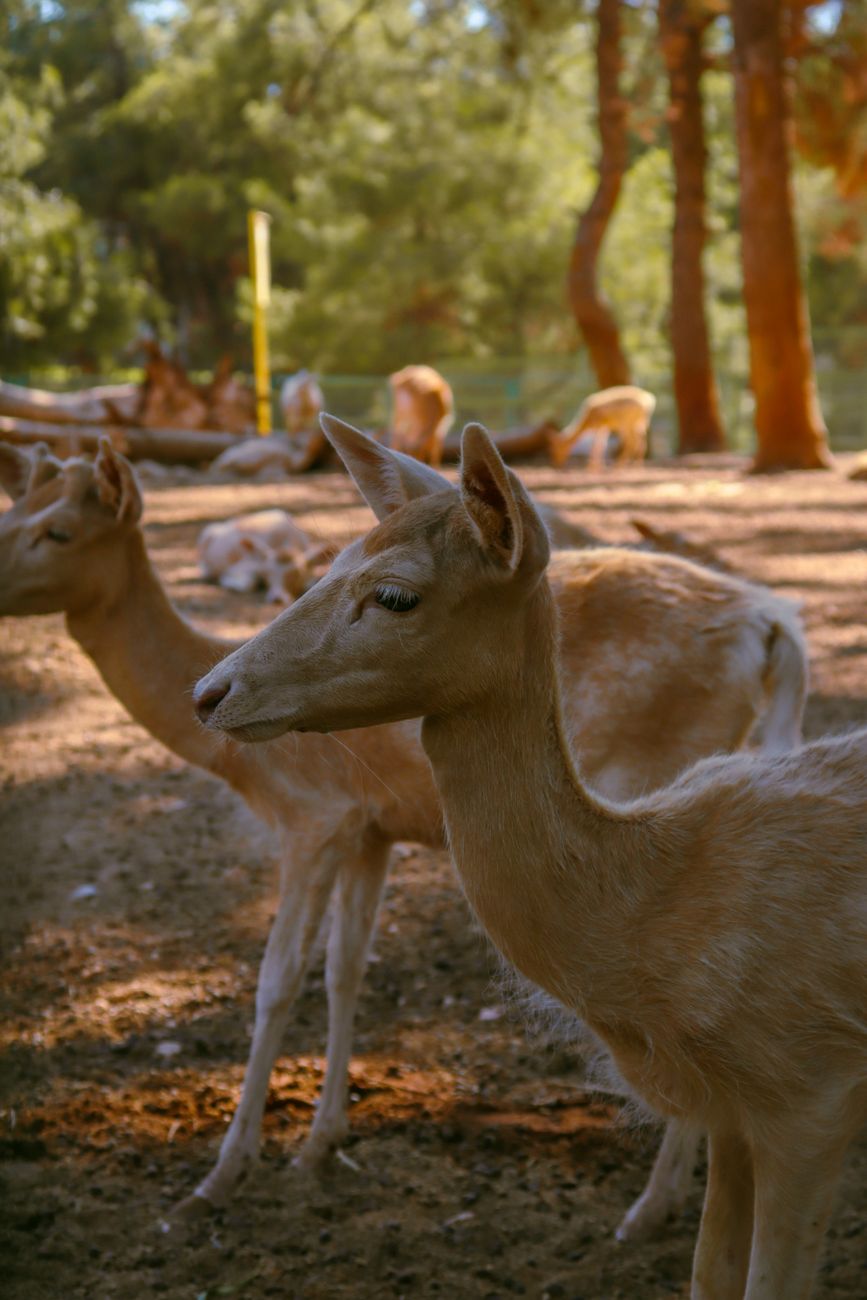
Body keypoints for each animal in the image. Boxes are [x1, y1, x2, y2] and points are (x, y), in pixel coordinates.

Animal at [0, 439, 807, 1242]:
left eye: (58, 531)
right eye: (13, 512)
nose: (210, 695)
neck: (246, 771)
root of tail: (772, 620)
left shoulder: (314, 816)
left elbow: (276, 979)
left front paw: (220, 1177)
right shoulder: (370, 831)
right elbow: (345, 967)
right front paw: (319, 1144)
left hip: (659, 772)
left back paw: (651, 1206)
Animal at [195, 416, 867, 1299]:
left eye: (396, 594)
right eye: (329, 560)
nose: (209, 693)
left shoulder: (811, 1099)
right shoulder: (733, 1114)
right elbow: (707, 1275)